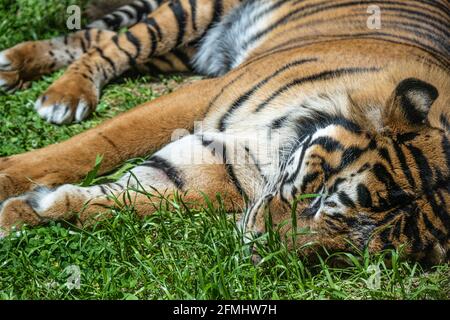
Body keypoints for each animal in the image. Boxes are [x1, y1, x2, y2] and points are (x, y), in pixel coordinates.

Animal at [0, 0, 448, 264]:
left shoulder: (223, 168)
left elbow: (133, 197)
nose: (261, 255)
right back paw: (62, 94)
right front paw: (9, 178)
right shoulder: (202, 94)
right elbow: (97, 144)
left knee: (93, 35)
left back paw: (16, 62)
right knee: (114, 45)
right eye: (320, 199)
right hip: (190, 15)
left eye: (349, 255)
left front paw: (30, 210)